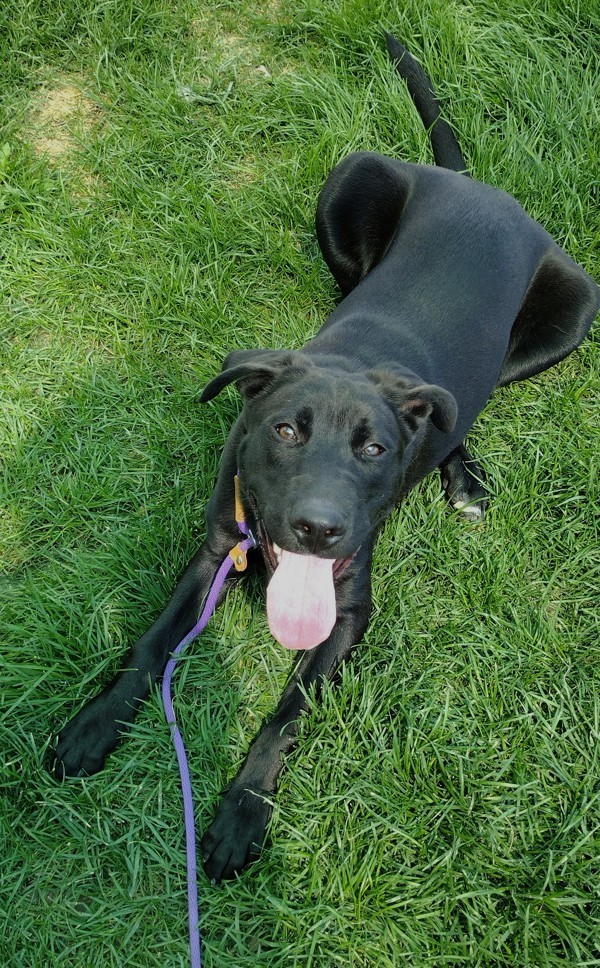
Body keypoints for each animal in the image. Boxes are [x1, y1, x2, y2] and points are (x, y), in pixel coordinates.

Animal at [54, 36, 596, 884]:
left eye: (374, 449)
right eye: (283, 431)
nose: (317, 528)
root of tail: (476, 186)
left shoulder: (349, 609)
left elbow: (288, 711)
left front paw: (244, 811)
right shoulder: (216, 548)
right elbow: (150, 645)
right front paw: (94, 722)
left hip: (572, 310)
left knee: (466, 403)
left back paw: (464, 472)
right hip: (349, 183)